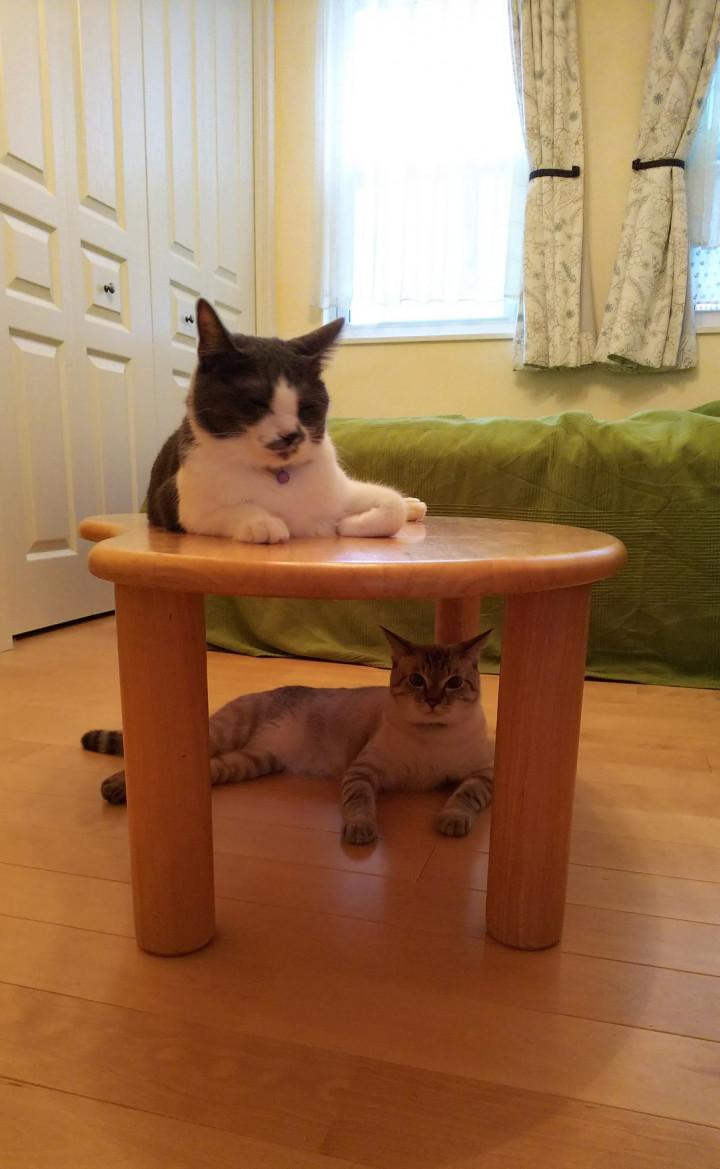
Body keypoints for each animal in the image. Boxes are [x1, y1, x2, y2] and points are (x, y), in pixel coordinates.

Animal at [82, 627, 495, 844]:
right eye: (417, 680)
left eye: (454, 683)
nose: (433, 701)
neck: (433, 736)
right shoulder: (362, 773)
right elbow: (360, 804)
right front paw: (362, 831)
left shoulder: (484, 775)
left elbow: (463, 797)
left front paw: (451, 822)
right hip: (223, 735)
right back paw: (115, 789)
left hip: (249, 762)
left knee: (207, 769)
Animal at [147, 298, 427, 542]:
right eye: (257, 402)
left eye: (306, 407)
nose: (291, 435)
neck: (279, 476)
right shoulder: (178, 502)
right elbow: (230, 509)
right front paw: (262, 522)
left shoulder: (342, 490)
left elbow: (392, 505)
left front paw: (349, 524)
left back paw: (413, 505)